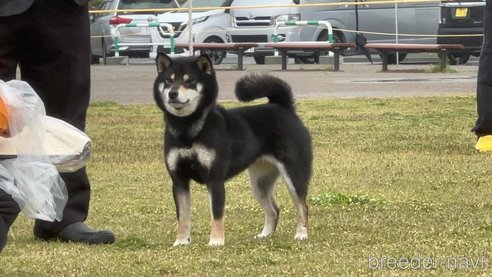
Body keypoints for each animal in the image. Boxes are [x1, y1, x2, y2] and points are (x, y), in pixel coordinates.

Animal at [154, 52, 314, 245]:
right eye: (168, 81)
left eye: (190, 81)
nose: (173, 93)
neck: (186, 129)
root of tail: (284, 108)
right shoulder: (179, 180)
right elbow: (183, 216)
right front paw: (181, 241)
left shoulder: (215, 179)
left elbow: (216, 214)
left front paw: (216, 241)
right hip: (260, 182)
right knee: (274, 210)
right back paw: (265, 234)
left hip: (293, 175)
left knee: (302, 206)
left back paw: (302, 234)